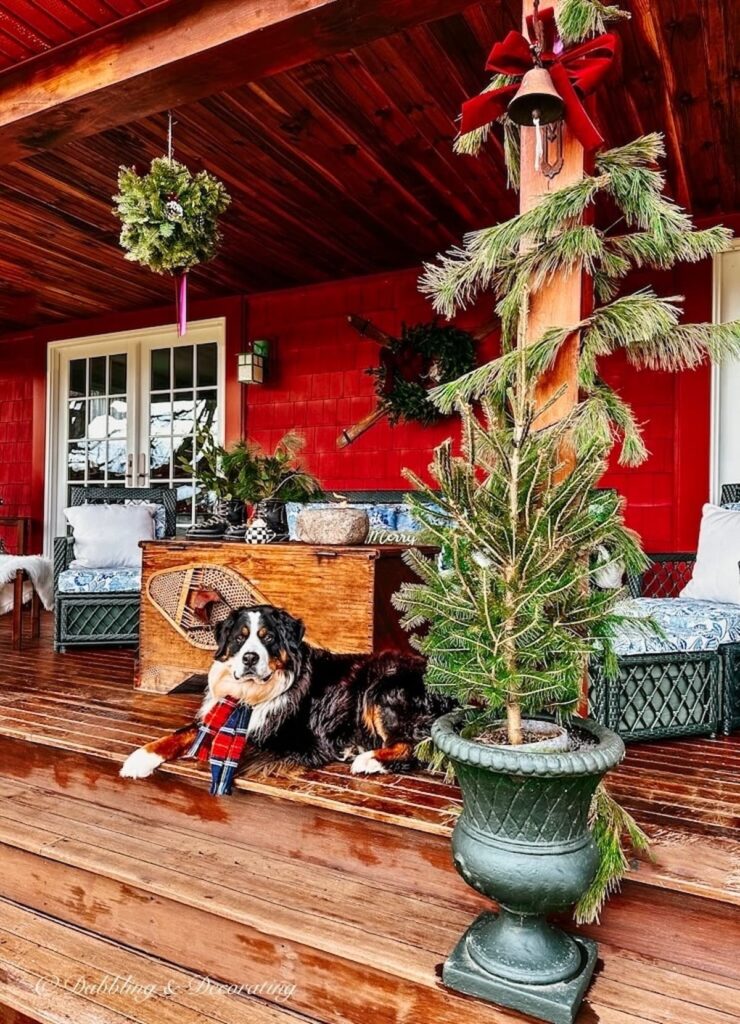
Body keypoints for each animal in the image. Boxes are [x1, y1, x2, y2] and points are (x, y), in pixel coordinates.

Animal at [119, 602, 454, 778]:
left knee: (411, 747)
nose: (250, 658)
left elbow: (243, 741)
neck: (252, 696)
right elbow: (180, 734)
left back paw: (368, 759)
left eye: (267, 637)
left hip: (382, 685)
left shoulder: (292, 739)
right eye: (240, 638)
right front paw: (140, 757)